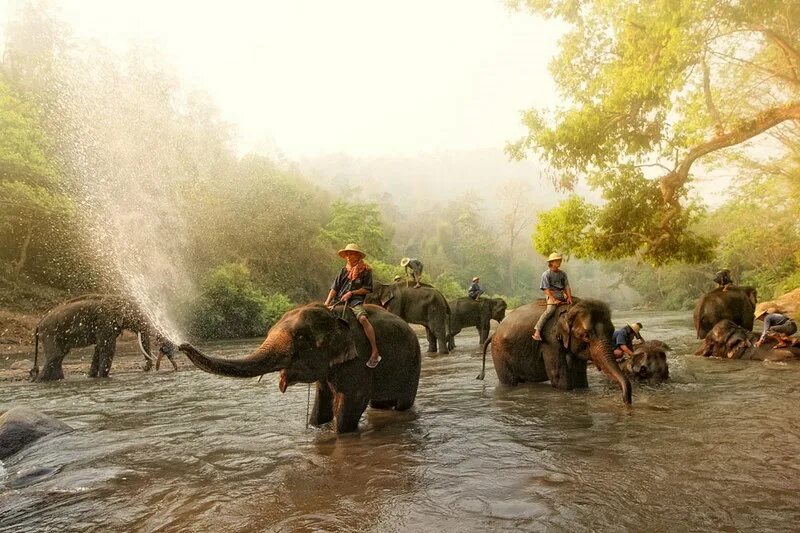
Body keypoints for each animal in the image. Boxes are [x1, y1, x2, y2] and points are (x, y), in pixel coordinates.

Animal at [179, 304, 422, 432]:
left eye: (301, 338)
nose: (182, 345)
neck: (334, 316)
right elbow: (322, 400)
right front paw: (317, 427)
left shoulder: (358, 359)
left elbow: (352, 401)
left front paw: (338, 433)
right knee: (379, 404)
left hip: (413, 365)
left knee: (402, 403)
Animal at [482, 298, 632, 406]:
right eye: (586, 335)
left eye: (612, 332)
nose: (627, 402)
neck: (571, 307)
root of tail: (494, 333)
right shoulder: (549, 340)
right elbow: (559, 376)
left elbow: (579, 376)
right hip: (499, 354)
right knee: (509, 381)